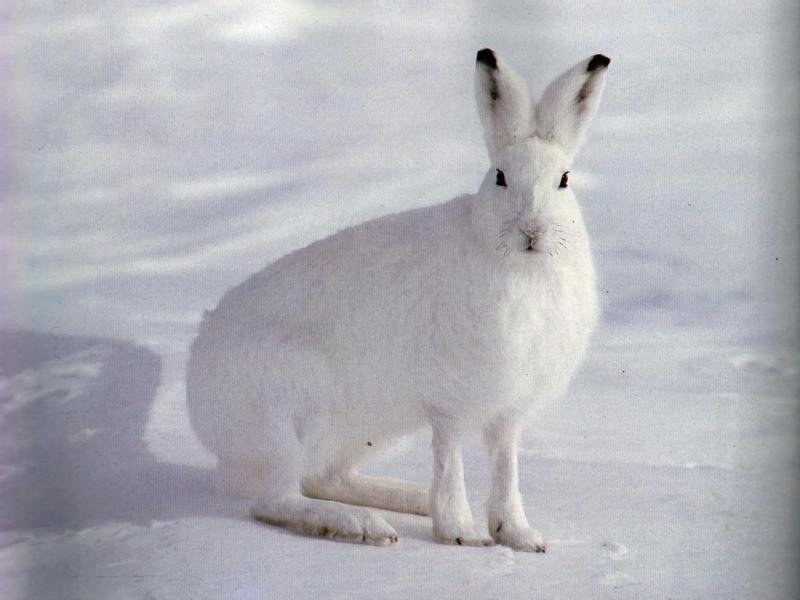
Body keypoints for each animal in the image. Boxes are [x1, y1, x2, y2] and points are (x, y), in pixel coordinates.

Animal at [187, 48, 610, 551]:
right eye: (501, 178)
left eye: (564, 180)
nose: (532, 231)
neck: (523, 267)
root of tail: (200, 404)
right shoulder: (448, 402)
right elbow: (451, 461)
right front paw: (462, 533)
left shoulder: (509, 412)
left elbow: (506, 469)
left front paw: (522, 537)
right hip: (292, 408)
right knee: (278, 497)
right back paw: (359, 525)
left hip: (363, 428)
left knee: (325, 477)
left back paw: (404, 499)